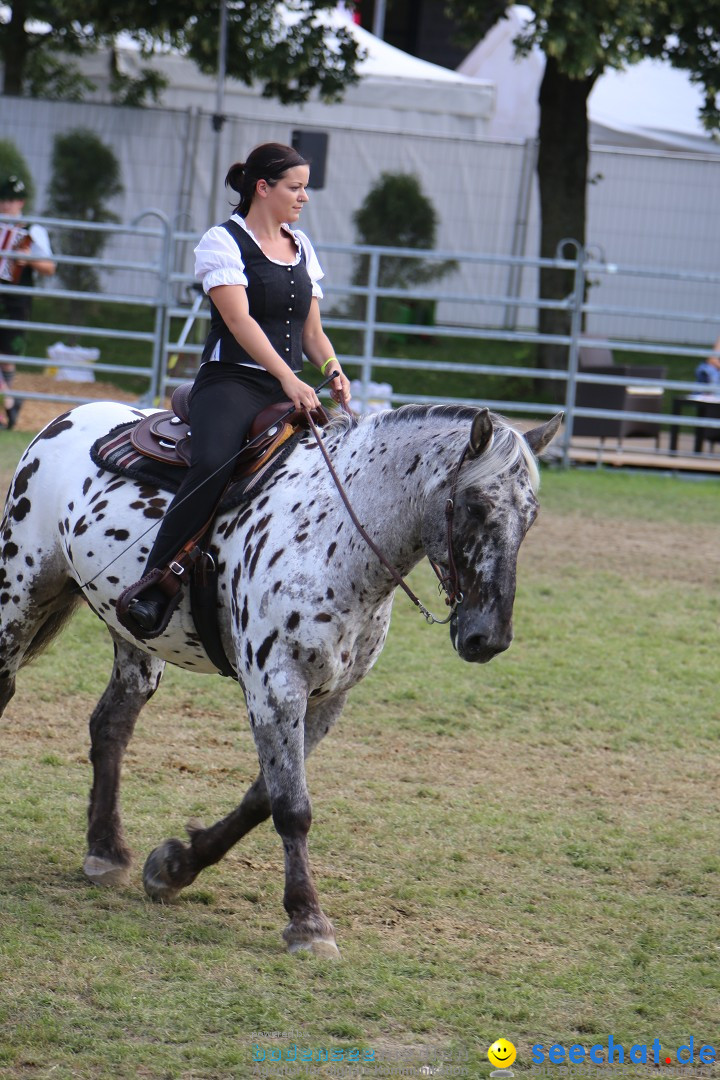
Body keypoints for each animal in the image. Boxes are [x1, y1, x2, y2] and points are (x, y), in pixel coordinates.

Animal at [0, 397, 561, 954]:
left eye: (530, 517)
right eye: (476, 506)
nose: (488, 637)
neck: (333, 537)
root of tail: (66, 417)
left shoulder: (328, 700)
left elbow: (263, 798)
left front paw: (176, 866)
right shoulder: (276, 689)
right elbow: (292, 806)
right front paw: (308, 920)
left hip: (133, 640)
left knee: (110, 726)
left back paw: (106, 851)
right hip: (21, 593)